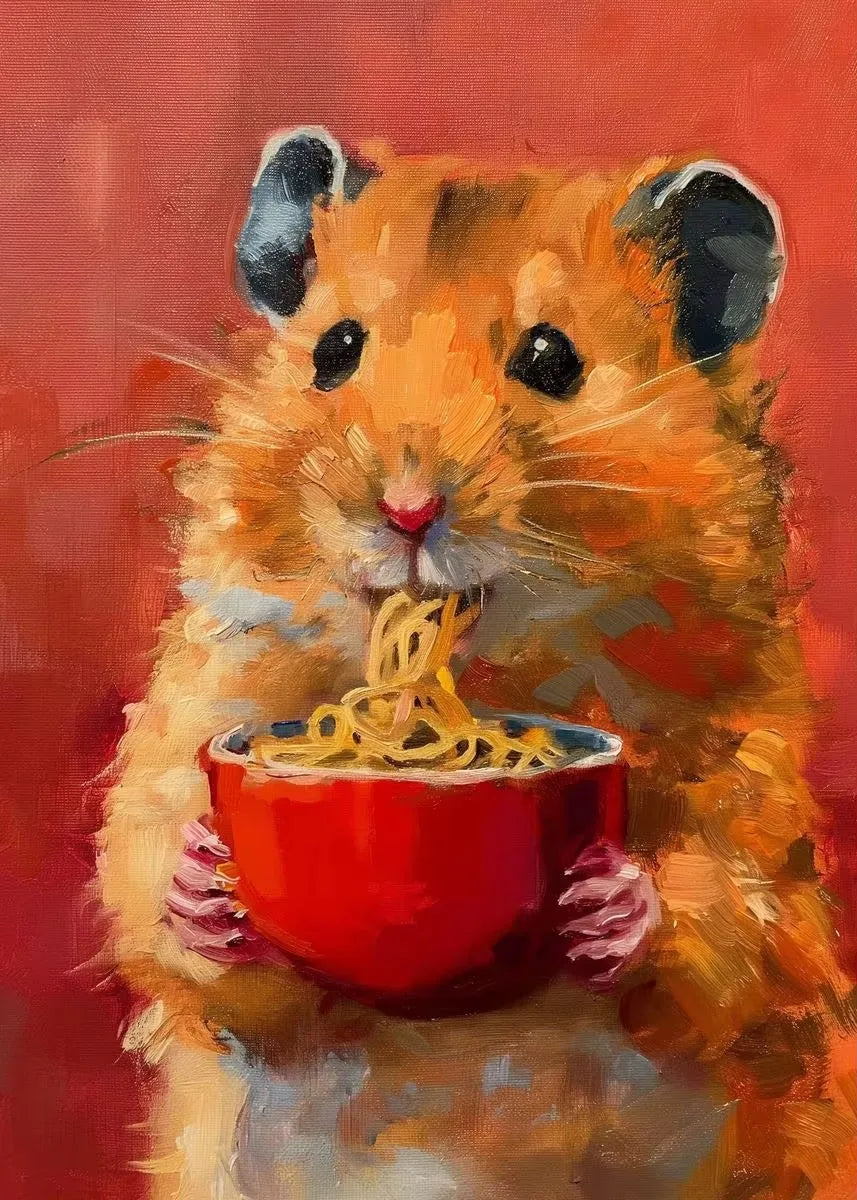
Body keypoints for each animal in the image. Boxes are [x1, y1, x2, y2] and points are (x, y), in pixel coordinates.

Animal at [98, 129, 855, 1200]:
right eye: (334, 352)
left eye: (551, 359)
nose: (407, 512)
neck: (490, 669)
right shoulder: (189, 718)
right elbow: (154, 885)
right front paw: (207, 880)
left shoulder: (756, 798)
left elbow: (722, 913)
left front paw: (604, 899)